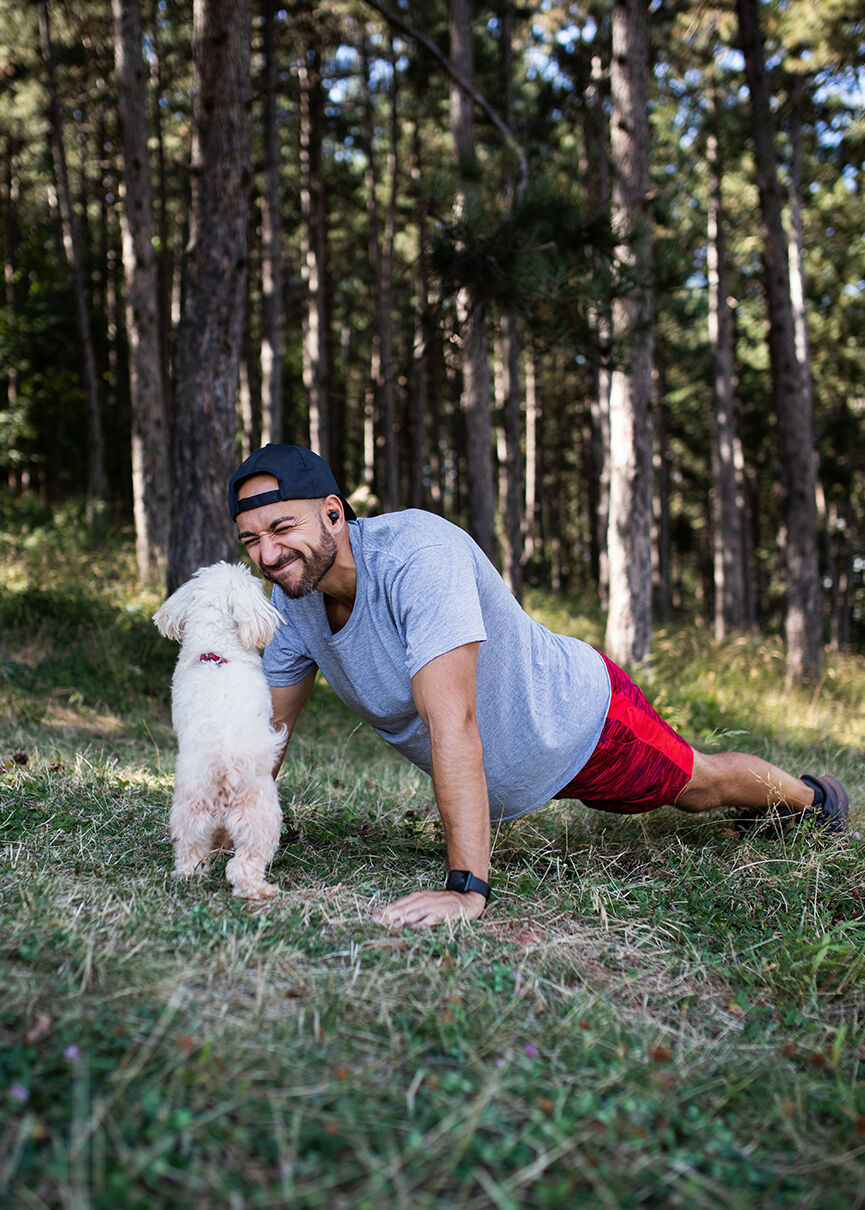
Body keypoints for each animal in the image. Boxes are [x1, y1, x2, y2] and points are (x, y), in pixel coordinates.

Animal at [153, 559, 287, 900]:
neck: (216, 651)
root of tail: (226, 763)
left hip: (196, 811)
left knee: (193, 851)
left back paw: (191, 876)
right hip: (262, 812)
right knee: (245, 863)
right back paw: (262, 889)